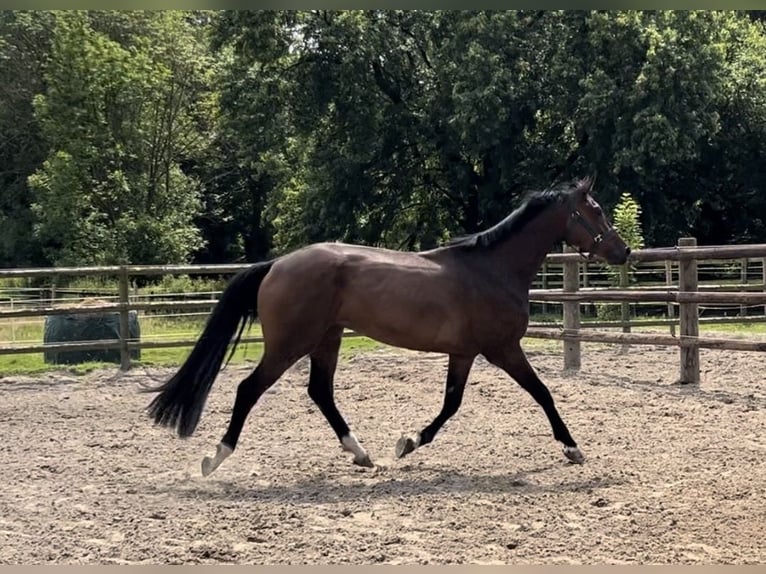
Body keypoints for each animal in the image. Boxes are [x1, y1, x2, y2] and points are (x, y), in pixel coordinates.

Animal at [144, 178, 632, 480]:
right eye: (595, 210)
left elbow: (451, 405)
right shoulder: (502, 349)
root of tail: (277, 264)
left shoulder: (464, 353)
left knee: (320, 391)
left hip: (327, 339)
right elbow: (543, 393)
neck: (492, 269)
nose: (624, 250)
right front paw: (572, 448)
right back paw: (214, 458)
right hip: (290, 343)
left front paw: (408, 442)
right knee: (249, 389)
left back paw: (362, 454)